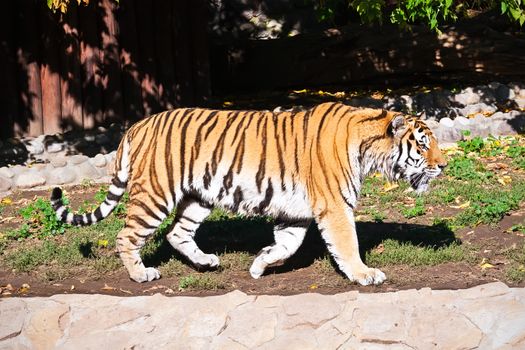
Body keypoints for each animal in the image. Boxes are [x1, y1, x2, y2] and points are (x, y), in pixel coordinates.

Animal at [51, 101, 446, 284]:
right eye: (423, 145)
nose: (443, 165)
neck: (367, 147)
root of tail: (137, 124)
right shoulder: (335, 206)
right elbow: (347, 244)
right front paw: (365, 275)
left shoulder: (295, 213)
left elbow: (287, 246)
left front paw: (259, 265)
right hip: (155, 194)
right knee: (126, 236)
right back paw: (140, 274)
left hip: (198, 198)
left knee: (177, 233)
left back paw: (207, 262)